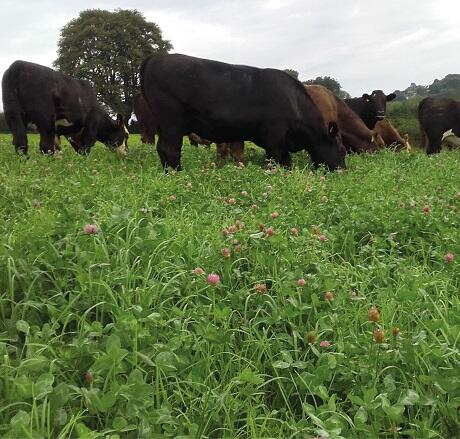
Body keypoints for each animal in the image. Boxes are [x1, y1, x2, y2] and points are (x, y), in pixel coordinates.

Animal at [140, 53, 344, 172]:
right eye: (342, 151)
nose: (343, 171)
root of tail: (155, 58)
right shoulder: (274, 137)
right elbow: (276, 159)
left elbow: (286, 161)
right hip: (172, 121)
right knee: (170, 149)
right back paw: (177, 173)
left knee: (161, 148)